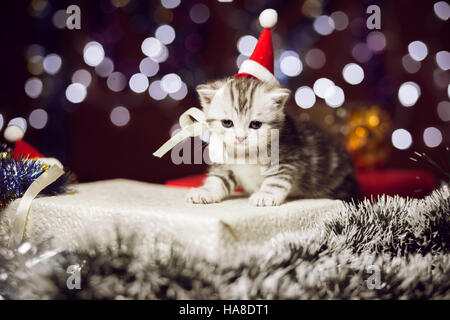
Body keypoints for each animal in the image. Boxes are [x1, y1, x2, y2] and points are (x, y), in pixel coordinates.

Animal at [185, 78, 358, 208]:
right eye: (227, 123)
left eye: (255, 124)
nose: (240, 138)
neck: (247, 153)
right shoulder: (225, 161)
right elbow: (218, 178)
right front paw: (206, 191)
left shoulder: (289, 158)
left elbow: (276, 180)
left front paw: (265, 195)